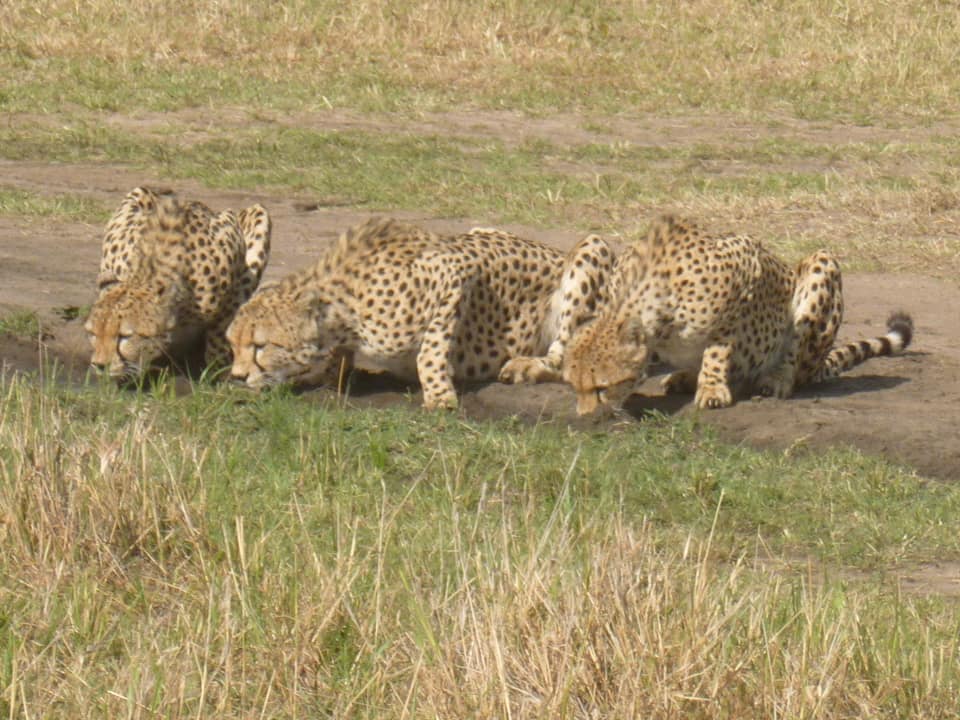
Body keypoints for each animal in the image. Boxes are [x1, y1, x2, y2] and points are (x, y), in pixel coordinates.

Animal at [85, 187, 272, 382]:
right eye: (92, 334)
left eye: (124, 336)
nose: (100, 365)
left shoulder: (230, 231)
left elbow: (223, 322)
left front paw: (217, 368)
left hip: (259, 214)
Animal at [226, 217, 616, 408]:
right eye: (232, 344)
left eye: (261, 346)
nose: (236, 377)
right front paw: (324, 372)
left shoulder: (454, 273)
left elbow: (431, 348)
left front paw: (440, 395)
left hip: (593, 247)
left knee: (563, 356)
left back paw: (527, 366)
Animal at [564, 214, 916, 414]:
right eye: (573, 386)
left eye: (601, 387)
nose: (586, 417)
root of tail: (816, 366)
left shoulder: (745, 265)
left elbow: (718, 347)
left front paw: (711, 388)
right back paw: (684, 376)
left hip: (821, 264)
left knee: (794, 356)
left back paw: (776, 379)